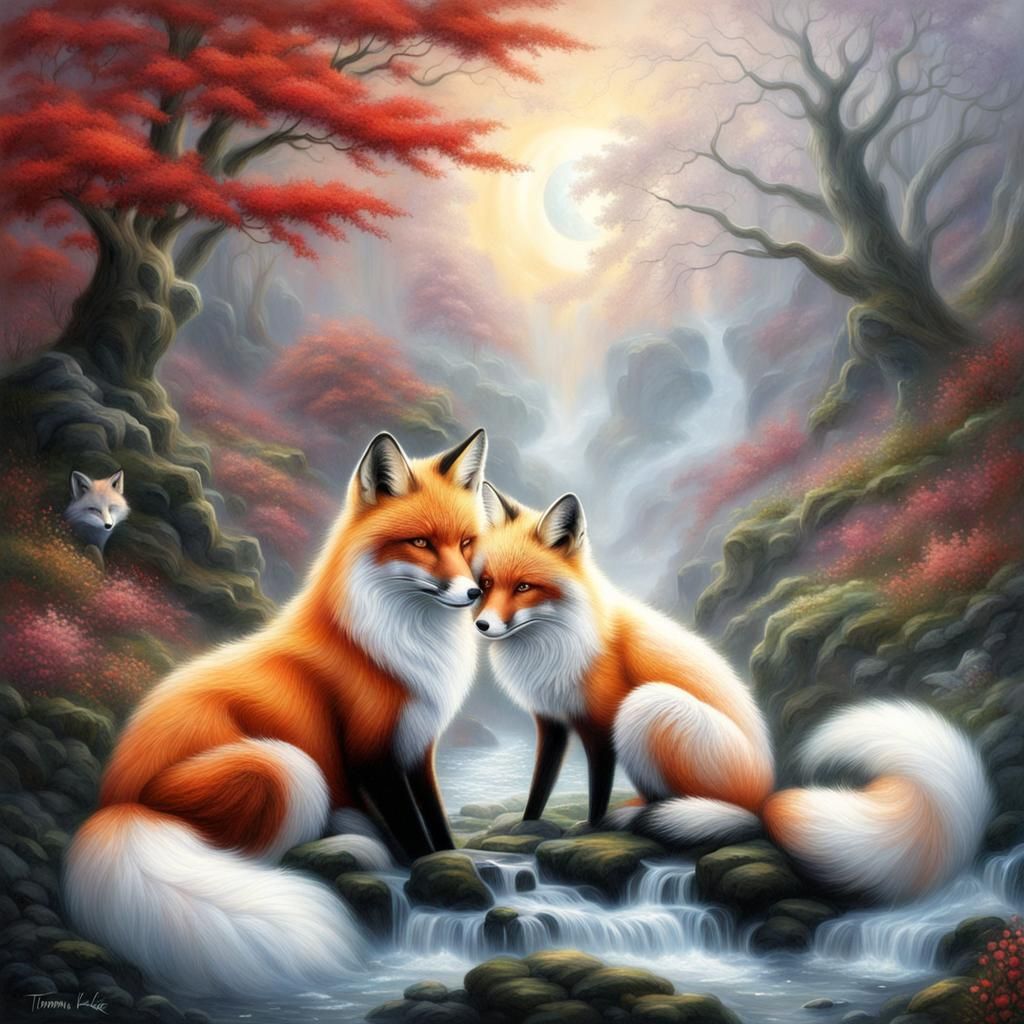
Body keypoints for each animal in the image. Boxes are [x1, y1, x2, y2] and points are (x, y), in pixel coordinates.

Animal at [64, 429, 489, 997]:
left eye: (466, 543)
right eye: (421, 543)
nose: (474, 593)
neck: (392, 644)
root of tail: (115, 802)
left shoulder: (417, 748)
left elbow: (436, 823)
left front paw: (452, 857)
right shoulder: (371, 754)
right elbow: (410, 834)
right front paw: (421, 868)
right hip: (285, 766)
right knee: (253, 859)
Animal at [473, 482, 992, 903]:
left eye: (525, 587)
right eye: (485, 584)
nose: (482, 625)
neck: (553, 642)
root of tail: (767, 791)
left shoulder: (600, 719)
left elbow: (597, 789)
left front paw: (590, 828)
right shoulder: (551, 721)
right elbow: (540, 784)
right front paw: (527, 824)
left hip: (646, 708)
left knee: (723, 815)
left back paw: (650, 818)